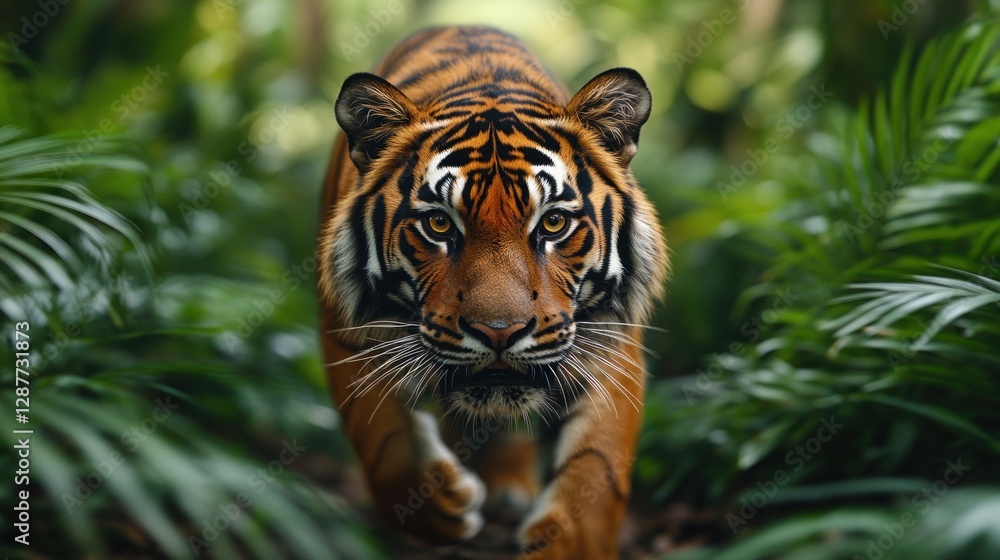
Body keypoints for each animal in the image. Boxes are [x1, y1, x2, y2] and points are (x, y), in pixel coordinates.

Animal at [317, 25, 668, 559]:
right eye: (439, 224)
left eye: (554, 222)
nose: (499, 332)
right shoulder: (346, 332)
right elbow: (383, 439)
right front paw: (437, 507)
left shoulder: (612, 342)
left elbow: (596, 466)